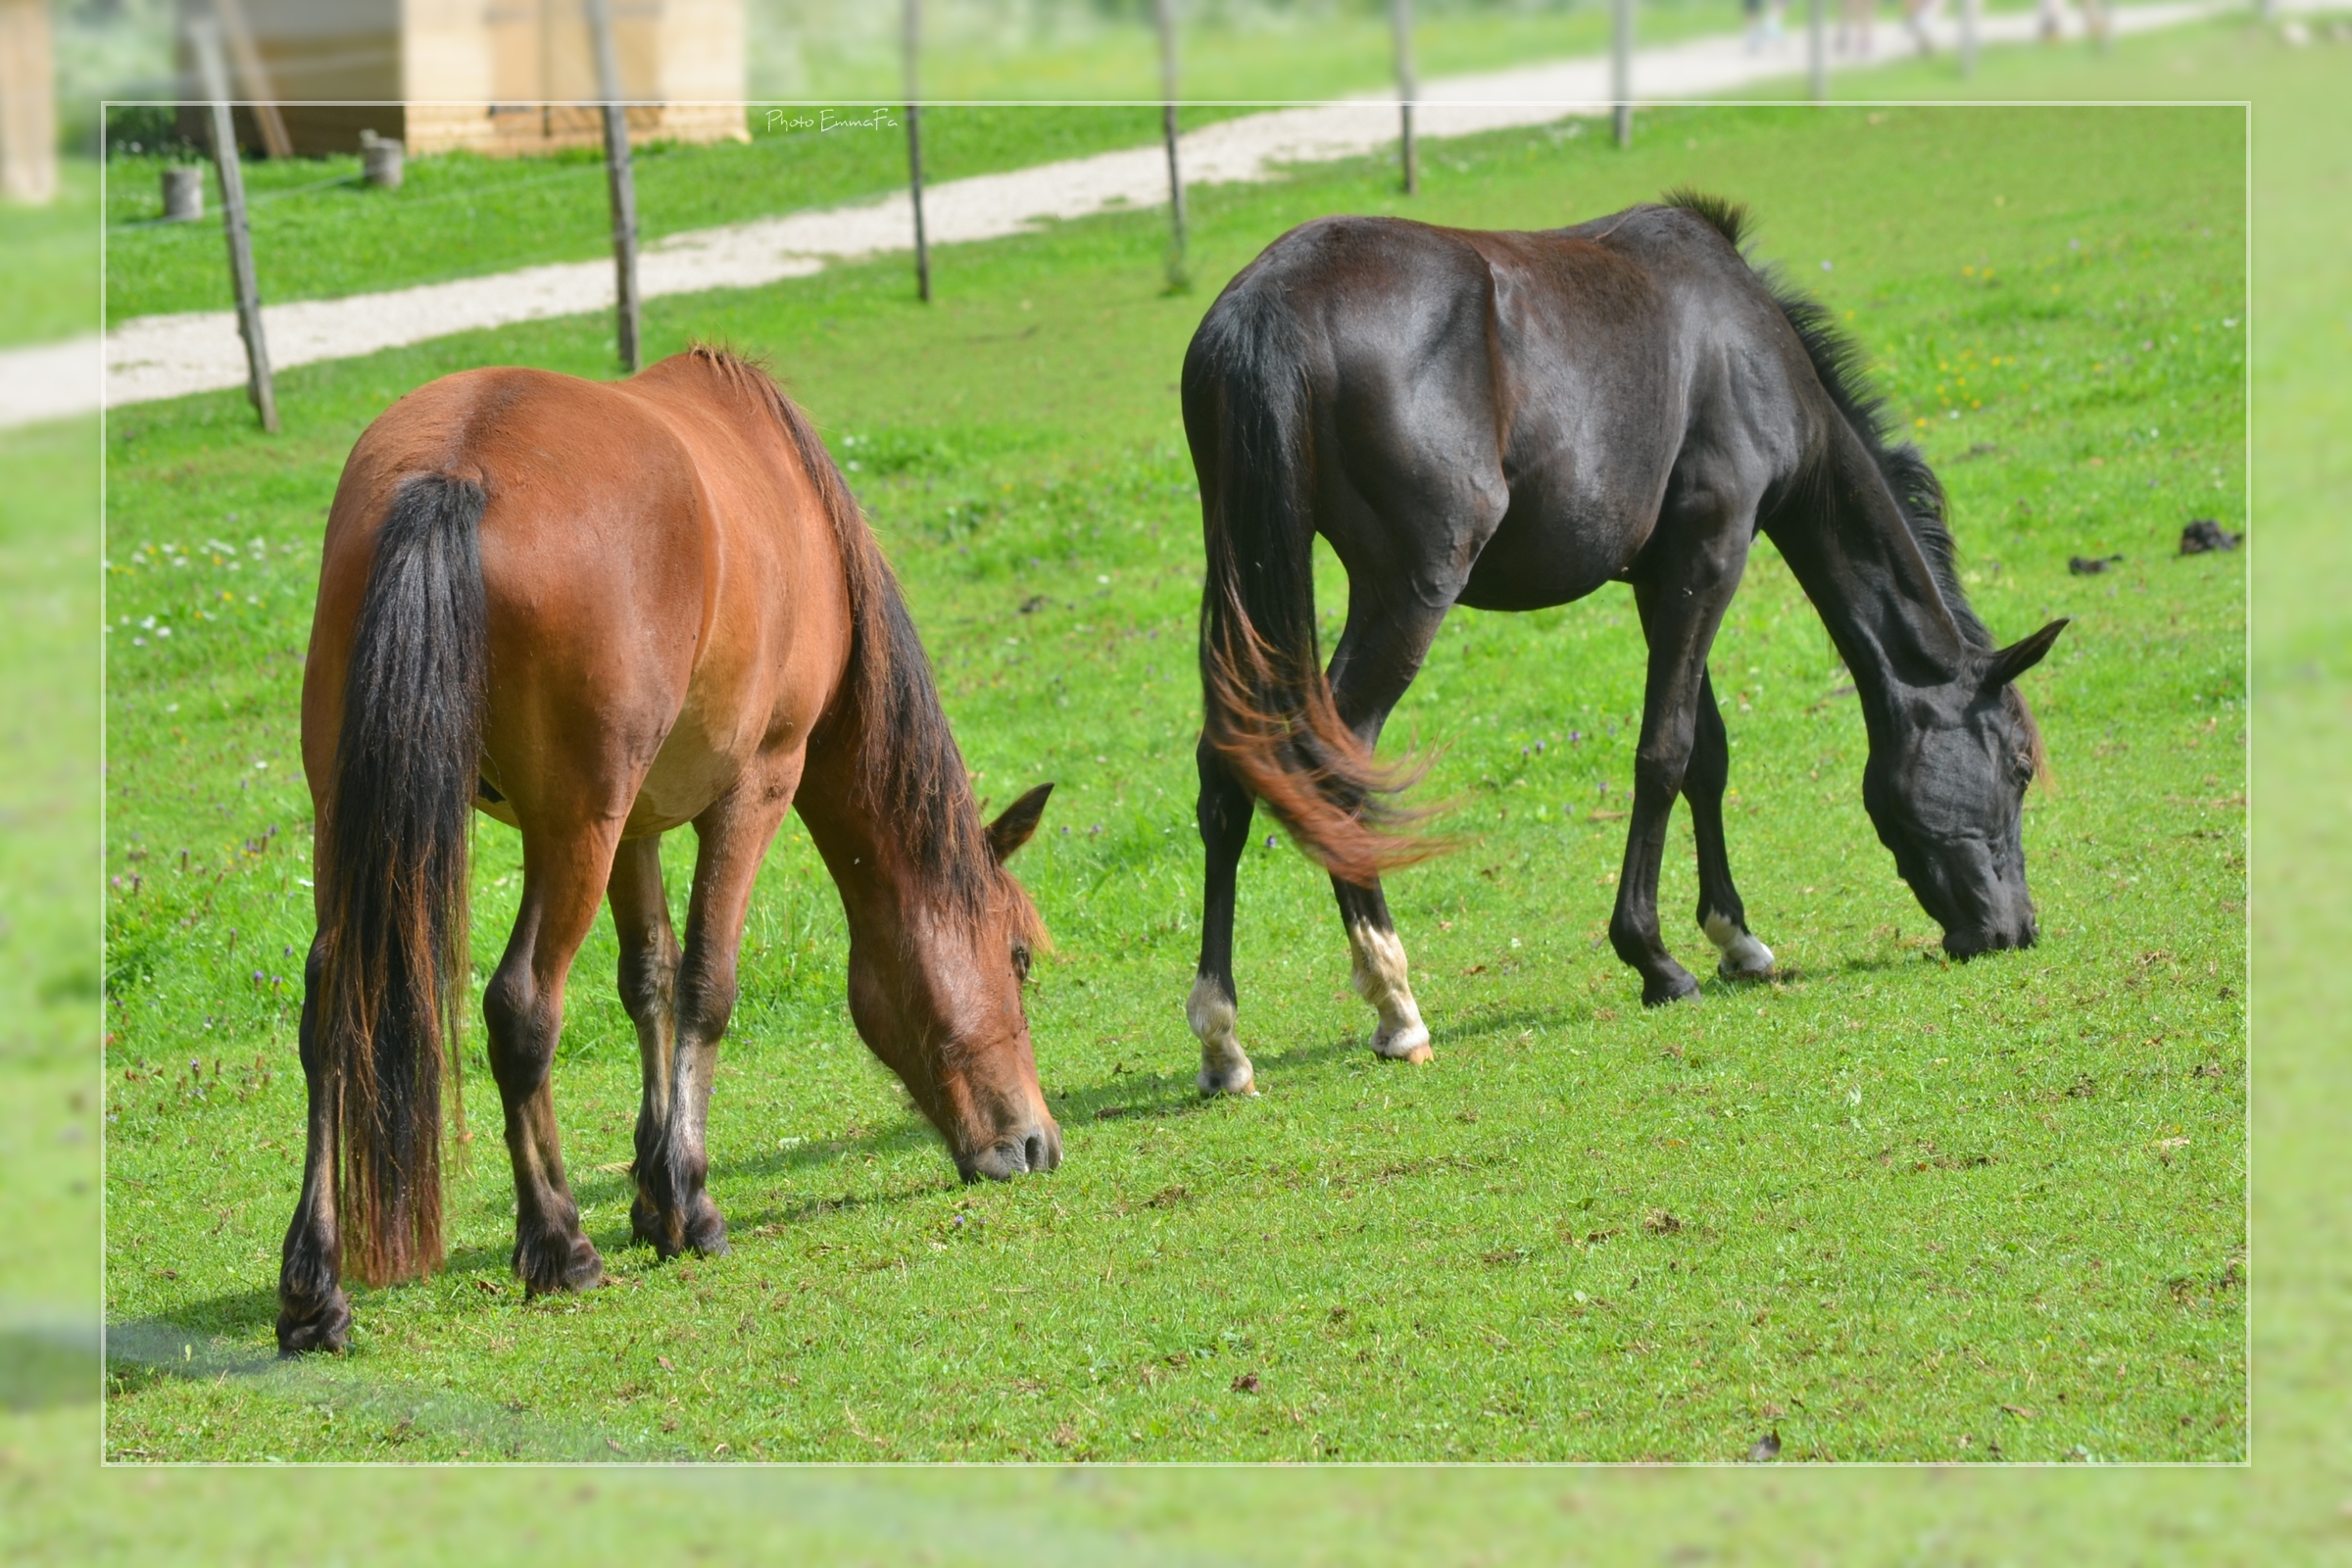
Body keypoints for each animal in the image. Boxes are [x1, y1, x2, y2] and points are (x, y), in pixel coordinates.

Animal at [269, 350, 1067, 1353]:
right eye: (1018, 959)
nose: (1036, 1144)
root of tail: (456, 467)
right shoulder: (756, 786)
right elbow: (706, 986)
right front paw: (689, 1203)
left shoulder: (639, 826)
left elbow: (648, 979)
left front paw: (653, 1197)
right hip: (572, 828)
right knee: (523, 1006)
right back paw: (559, 1244)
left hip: (363, 825)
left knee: (334, 1009)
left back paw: (314, 1290)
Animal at [1176, 192, 2060, 1091]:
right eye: (2019, 766)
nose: (2017, 929)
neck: (1748, 346)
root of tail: (1272, 306)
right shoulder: (1712, 553)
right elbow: (1665, 752)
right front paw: (1655, 959)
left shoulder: (1660, 574)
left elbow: (1708, 753)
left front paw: (1736, 938)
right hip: (1408, 591)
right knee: (1335, 765)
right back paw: (1396, 1005)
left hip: (1250, 580)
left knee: (1228, 769)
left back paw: (1222, 1039)